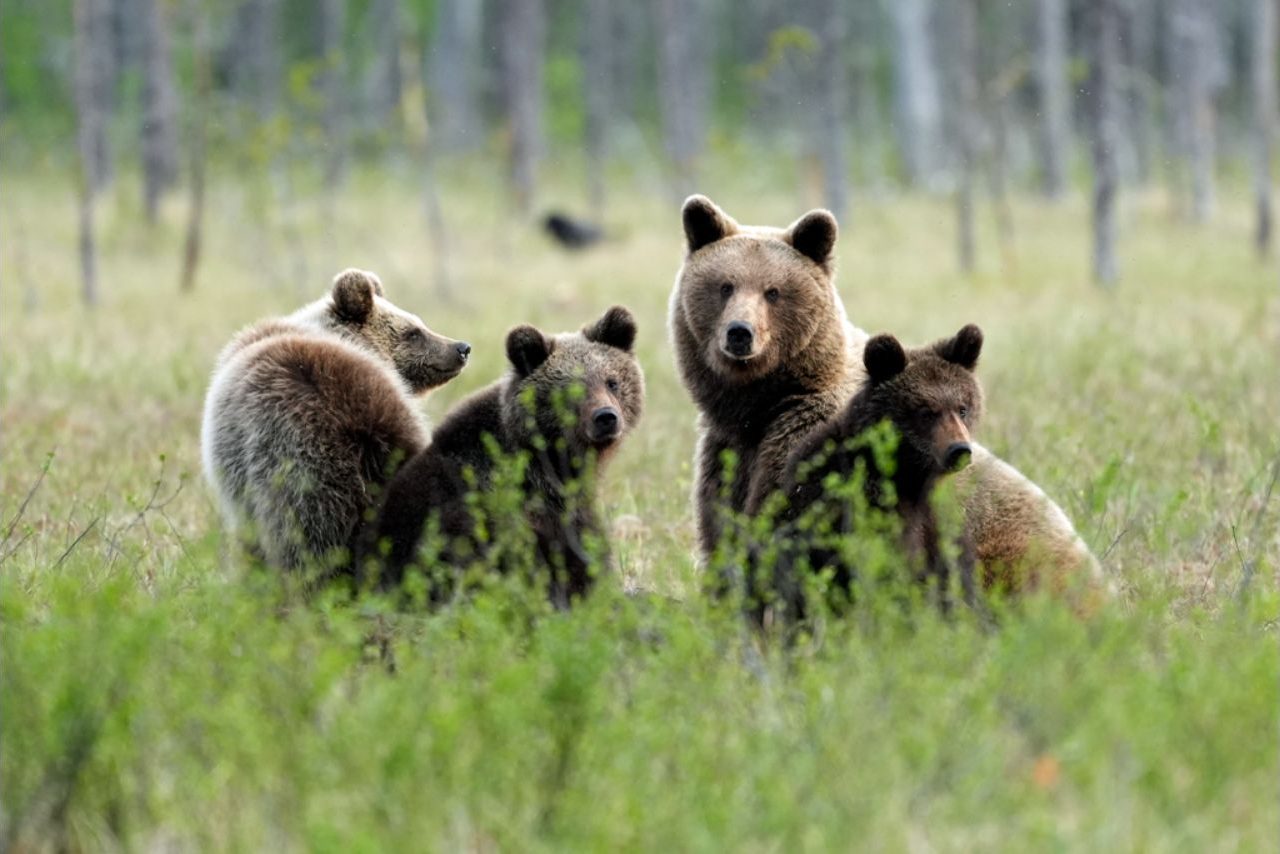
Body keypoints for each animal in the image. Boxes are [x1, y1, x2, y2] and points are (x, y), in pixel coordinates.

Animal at [751, 325, 985, 625]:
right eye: (925, 412)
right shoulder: (863, 505)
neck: (909, 476)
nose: (959, 450)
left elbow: (952, 569)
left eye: (962, 407)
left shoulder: (938, 515)